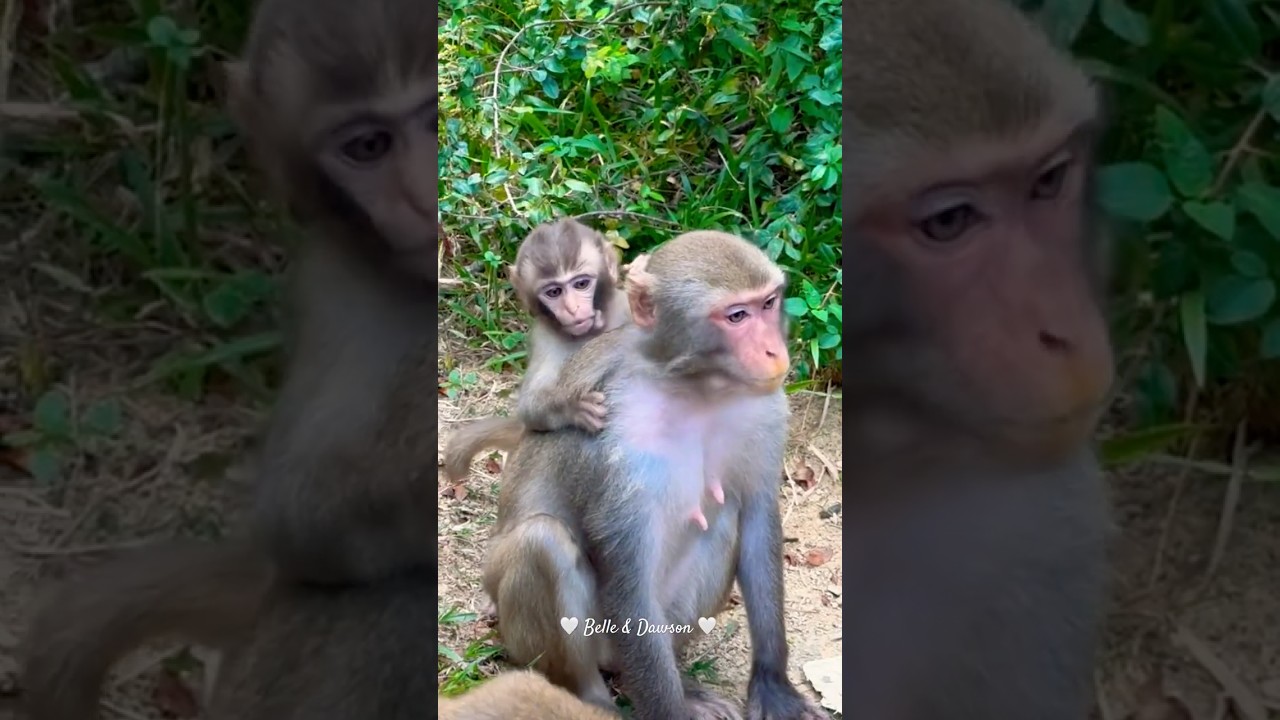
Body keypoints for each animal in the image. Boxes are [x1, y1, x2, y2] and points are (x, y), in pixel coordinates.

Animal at [441, 218, 634, 483]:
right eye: (554, 292)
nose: (573, 309)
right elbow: (530, 407)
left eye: (581, 284)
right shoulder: (544, 337)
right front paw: (571, 407)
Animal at [481, 230, 826, 720]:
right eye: (736, 316)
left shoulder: (763, 409)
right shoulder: (622, 437)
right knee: (541, 542)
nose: (774, 350)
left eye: (767, 303)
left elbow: (758, 516)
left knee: (726, 517)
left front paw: (773, 687)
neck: (696, 387)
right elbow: (628, 567)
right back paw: (591, 696)